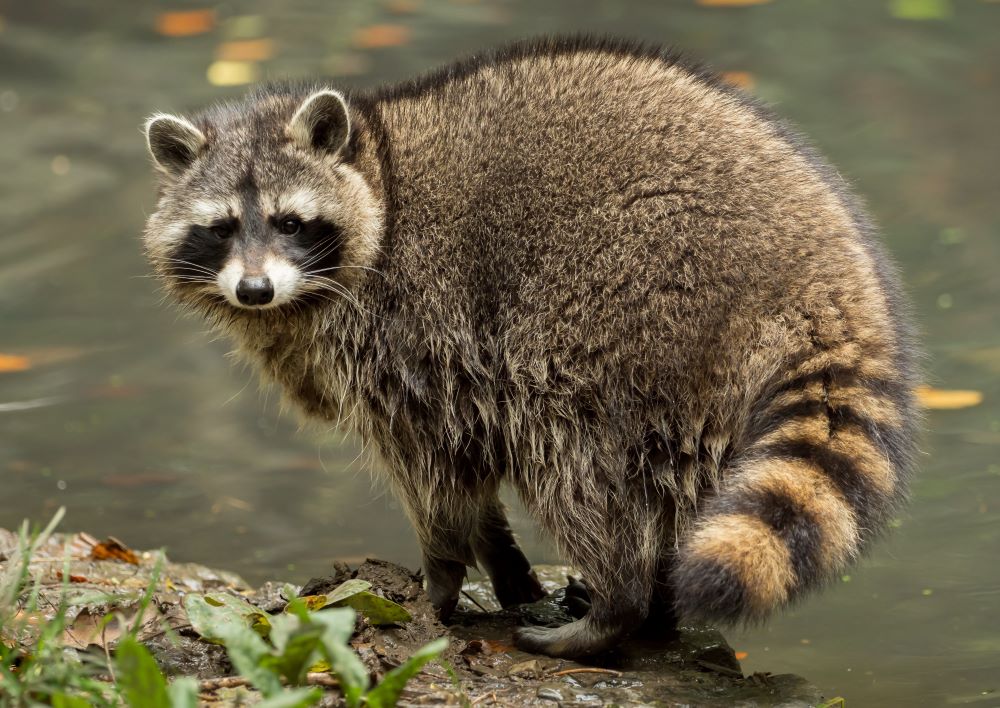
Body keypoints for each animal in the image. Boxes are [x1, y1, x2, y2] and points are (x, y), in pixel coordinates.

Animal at [142, 37, 918, 658]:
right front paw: (505, 563)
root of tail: (824, 268)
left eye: (290, 222)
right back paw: (652, 609)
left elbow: (437, 472)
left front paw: (440, 579)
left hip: (629, 306)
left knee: (576, 458)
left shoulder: (410, 334)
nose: (254, 291)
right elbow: (471, 460)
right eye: (219, 228)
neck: (378, 173)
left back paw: (618, 604)